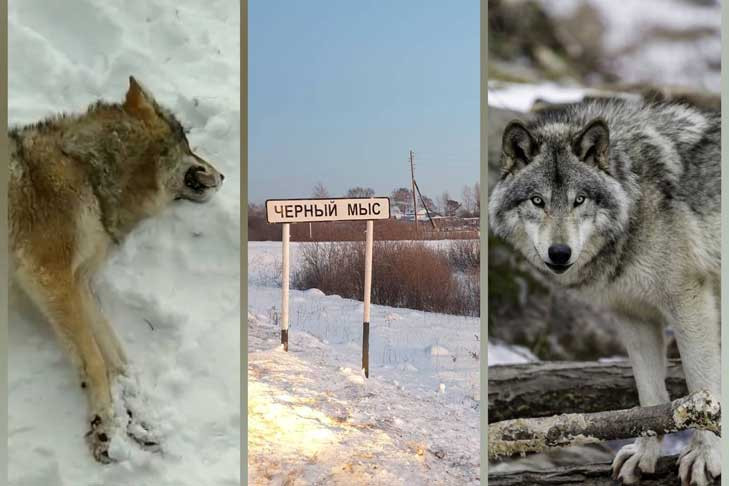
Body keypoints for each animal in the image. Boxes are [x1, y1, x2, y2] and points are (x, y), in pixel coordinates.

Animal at [8, 76, 223, 464]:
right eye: (189, 145)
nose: (225, 174)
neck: (89, 173)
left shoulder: (78, 283)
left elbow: (118, 361)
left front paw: (140, 422)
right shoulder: (47, 275)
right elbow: (95, 362)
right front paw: (106, 427)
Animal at [486, 99, 720, 486]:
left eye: (579, 200)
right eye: (537, 201)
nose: (559, 253)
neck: (636, 204)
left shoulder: (691, 304)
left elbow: (703, 386)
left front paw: (706, 455)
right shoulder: (633, 316)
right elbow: (650, 395)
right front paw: (644, 455)